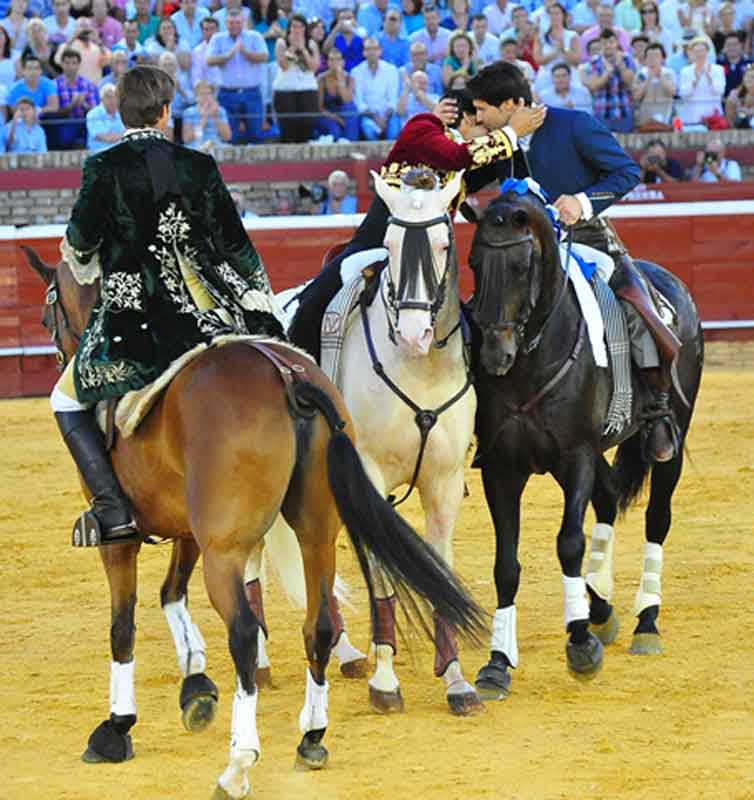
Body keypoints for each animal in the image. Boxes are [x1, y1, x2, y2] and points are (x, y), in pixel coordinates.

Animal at [25, 245, 482, 800]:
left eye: (47, 315)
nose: (59, 356)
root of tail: (289, 377)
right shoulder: (191, 531)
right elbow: (171, 594)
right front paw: (195, 686)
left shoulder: (123, 539)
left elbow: (123, 625)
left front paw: (117, 726)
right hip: (313, 533)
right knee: (318, 622)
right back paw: (311, 738)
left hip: (225, 551)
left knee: (242, 631)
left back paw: (238, 765)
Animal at [458, 188, 704, 700]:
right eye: (472, 261)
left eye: (522, 267)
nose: (494, 357)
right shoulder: (502, 468)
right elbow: (505, 564)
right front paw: (496, 664)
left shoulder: (577, 455)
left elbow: (569, 541)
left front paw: (579, 644)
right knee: (608, 501)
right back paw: (601, 605)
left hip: (671, 437)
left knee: (657, 517)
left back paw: (645, 621)